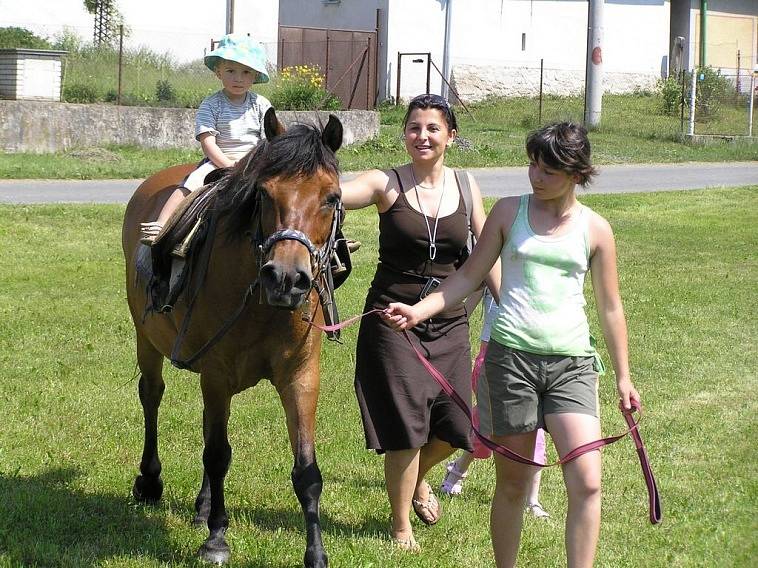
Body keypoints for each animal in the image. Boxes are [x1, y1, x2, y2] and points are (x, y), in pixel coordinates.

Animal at [122, 108, 344, 564]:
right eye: (263, 193)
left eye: (331, 197)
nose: (286, 278)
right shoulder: (217, 373)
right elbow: (218, 454)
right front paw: (216, 538)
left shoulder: (300, 377)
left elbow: (307, 471)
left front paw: (316, 554)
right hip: (145, 339)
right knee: (152, 395)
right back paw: (150, 482)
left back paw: (202, 505)